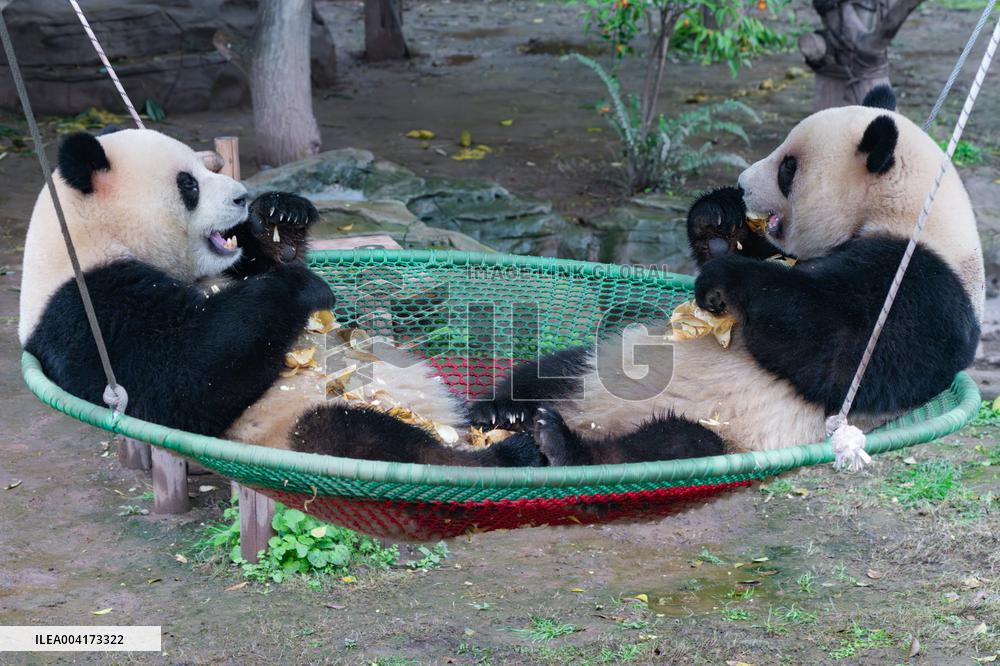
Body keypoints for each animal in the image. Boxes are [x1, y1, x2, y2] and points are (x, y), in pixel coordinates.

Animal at [19, 128, 541, 467]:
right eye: (189, 183)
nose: (241, 196)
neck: (90, 236)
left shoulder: (228, 268)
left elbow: (255, 263)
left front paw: (281, 218)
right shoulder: (85, 309)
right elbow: (178, 381)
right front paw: (302, 286)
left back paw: (506, 415)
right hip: (294, 424)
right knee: (367, 437)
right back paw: (505, 453)